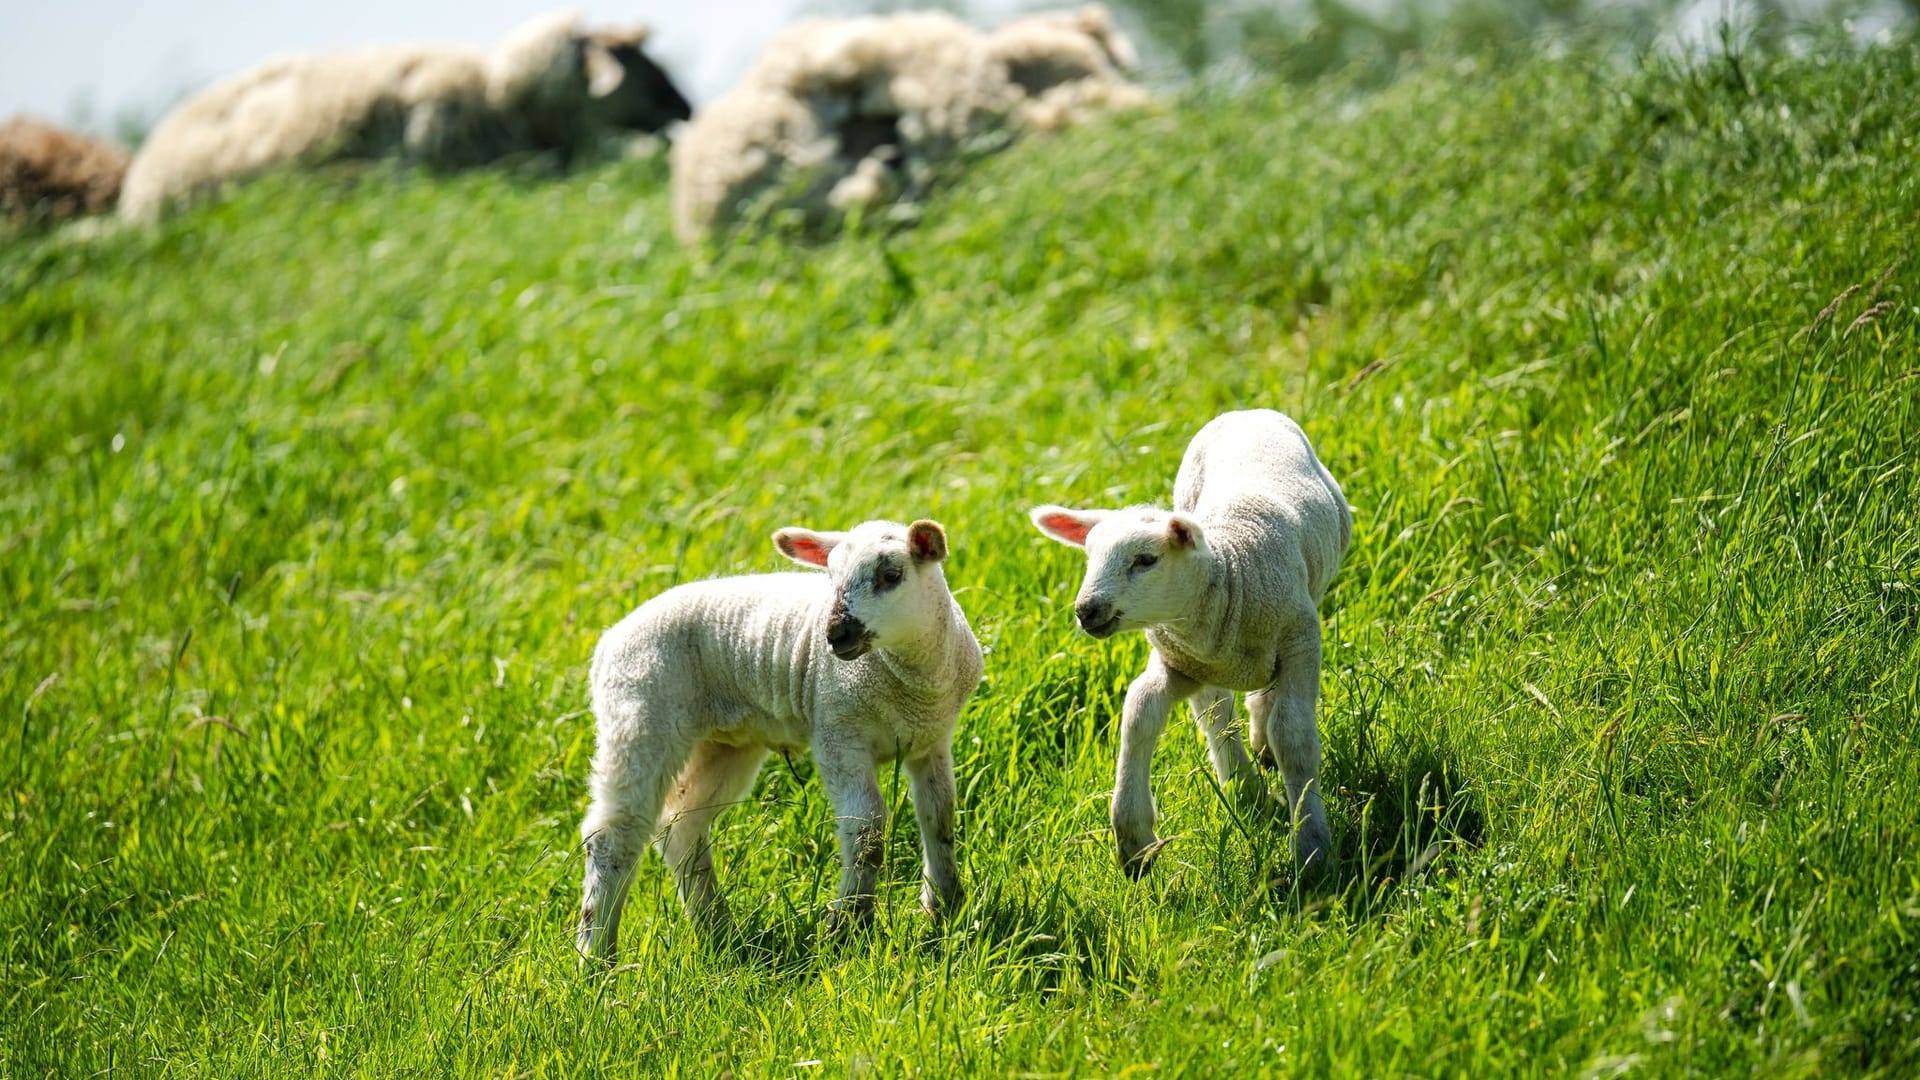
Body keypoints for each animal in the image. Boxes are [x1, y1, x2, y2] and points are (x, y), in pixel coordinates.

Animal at [572, 518, 983, 960]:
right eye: (830, 576)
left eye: (891, 575)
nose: (834, 635)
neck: (909, 680)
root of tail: (608, 640)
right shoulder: (837, 732)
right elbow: (868, 830)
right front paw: (848, 927)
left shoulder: (932, 739)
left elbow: (940, 817)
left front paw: (946, 907)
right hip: (639, 713)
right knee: (614, 834)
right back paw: (597, 955)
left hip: (726, 744)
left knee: (681, 825)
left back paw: (719, 930)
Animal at [1036, 407, 1351, 880]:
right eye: (1089, 558)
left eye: (1146, 560)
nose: (1086, 610)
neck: (1229, 568)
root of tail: (1244, 411)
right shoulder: (1178, 661)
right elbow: (1140, 710)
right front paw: (1134, 839)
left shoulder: (1300, 643)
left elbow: (1293, 734)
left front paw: (1312, 847)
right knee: (1217, 711)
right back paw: (1245, 783)